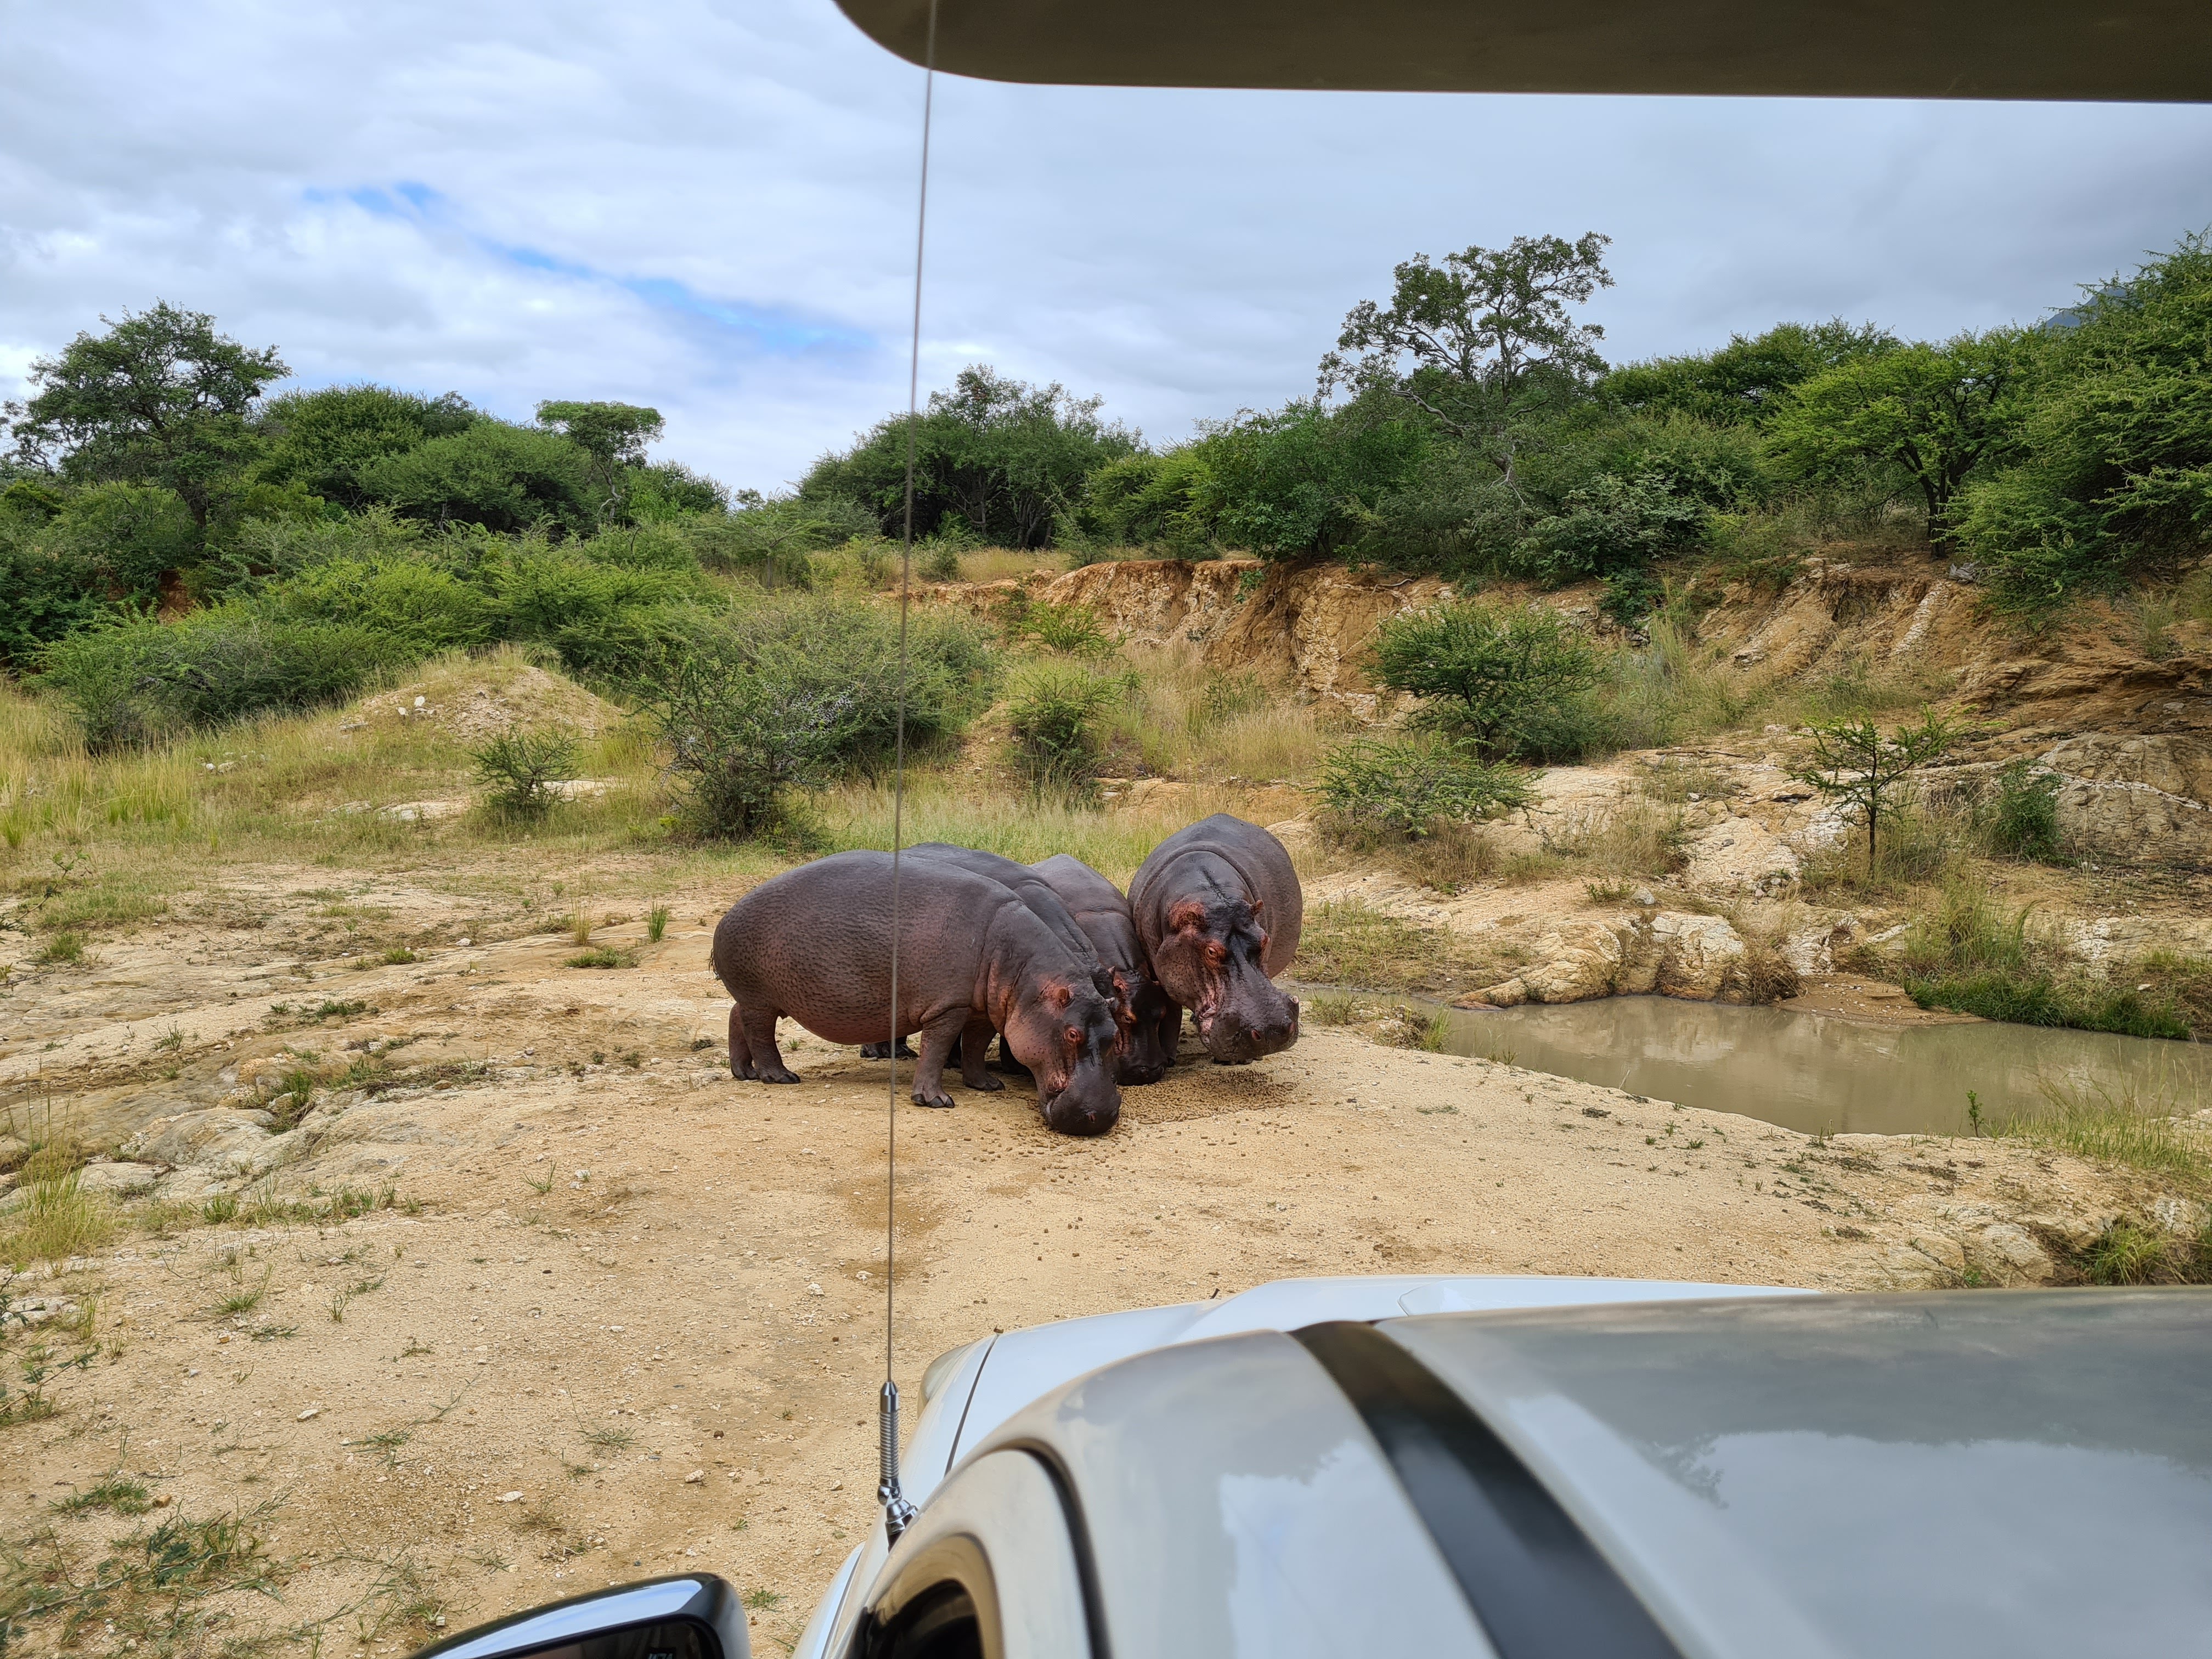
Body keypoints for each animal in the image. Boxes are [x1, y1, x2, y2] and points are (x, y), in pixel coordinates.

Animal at [710, 851, 1123, 1135]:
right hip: (761, 998)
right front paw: (936, 1101)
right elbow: (937, 1050)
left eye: (1114, 1035)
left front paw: (987, 1085)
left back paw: (744, 1073)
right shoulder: (948, 1007)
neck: (1026, 975)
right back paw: (779, 1077)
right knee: (761, 1034)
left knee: (735, 1018)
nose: (1101, 1116)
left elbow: (975, 1048)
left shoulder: (983, 1010)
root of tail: (726, 915)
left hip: (757, 997)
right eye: (1072, 1033)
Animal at [1128, 813, 1302, 1064]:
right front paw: (1168, 1059)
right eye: (1210, 952)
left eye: (1265, 940)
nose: (1272, 1030)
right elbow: (1171, 1012)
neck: (1212, 895)